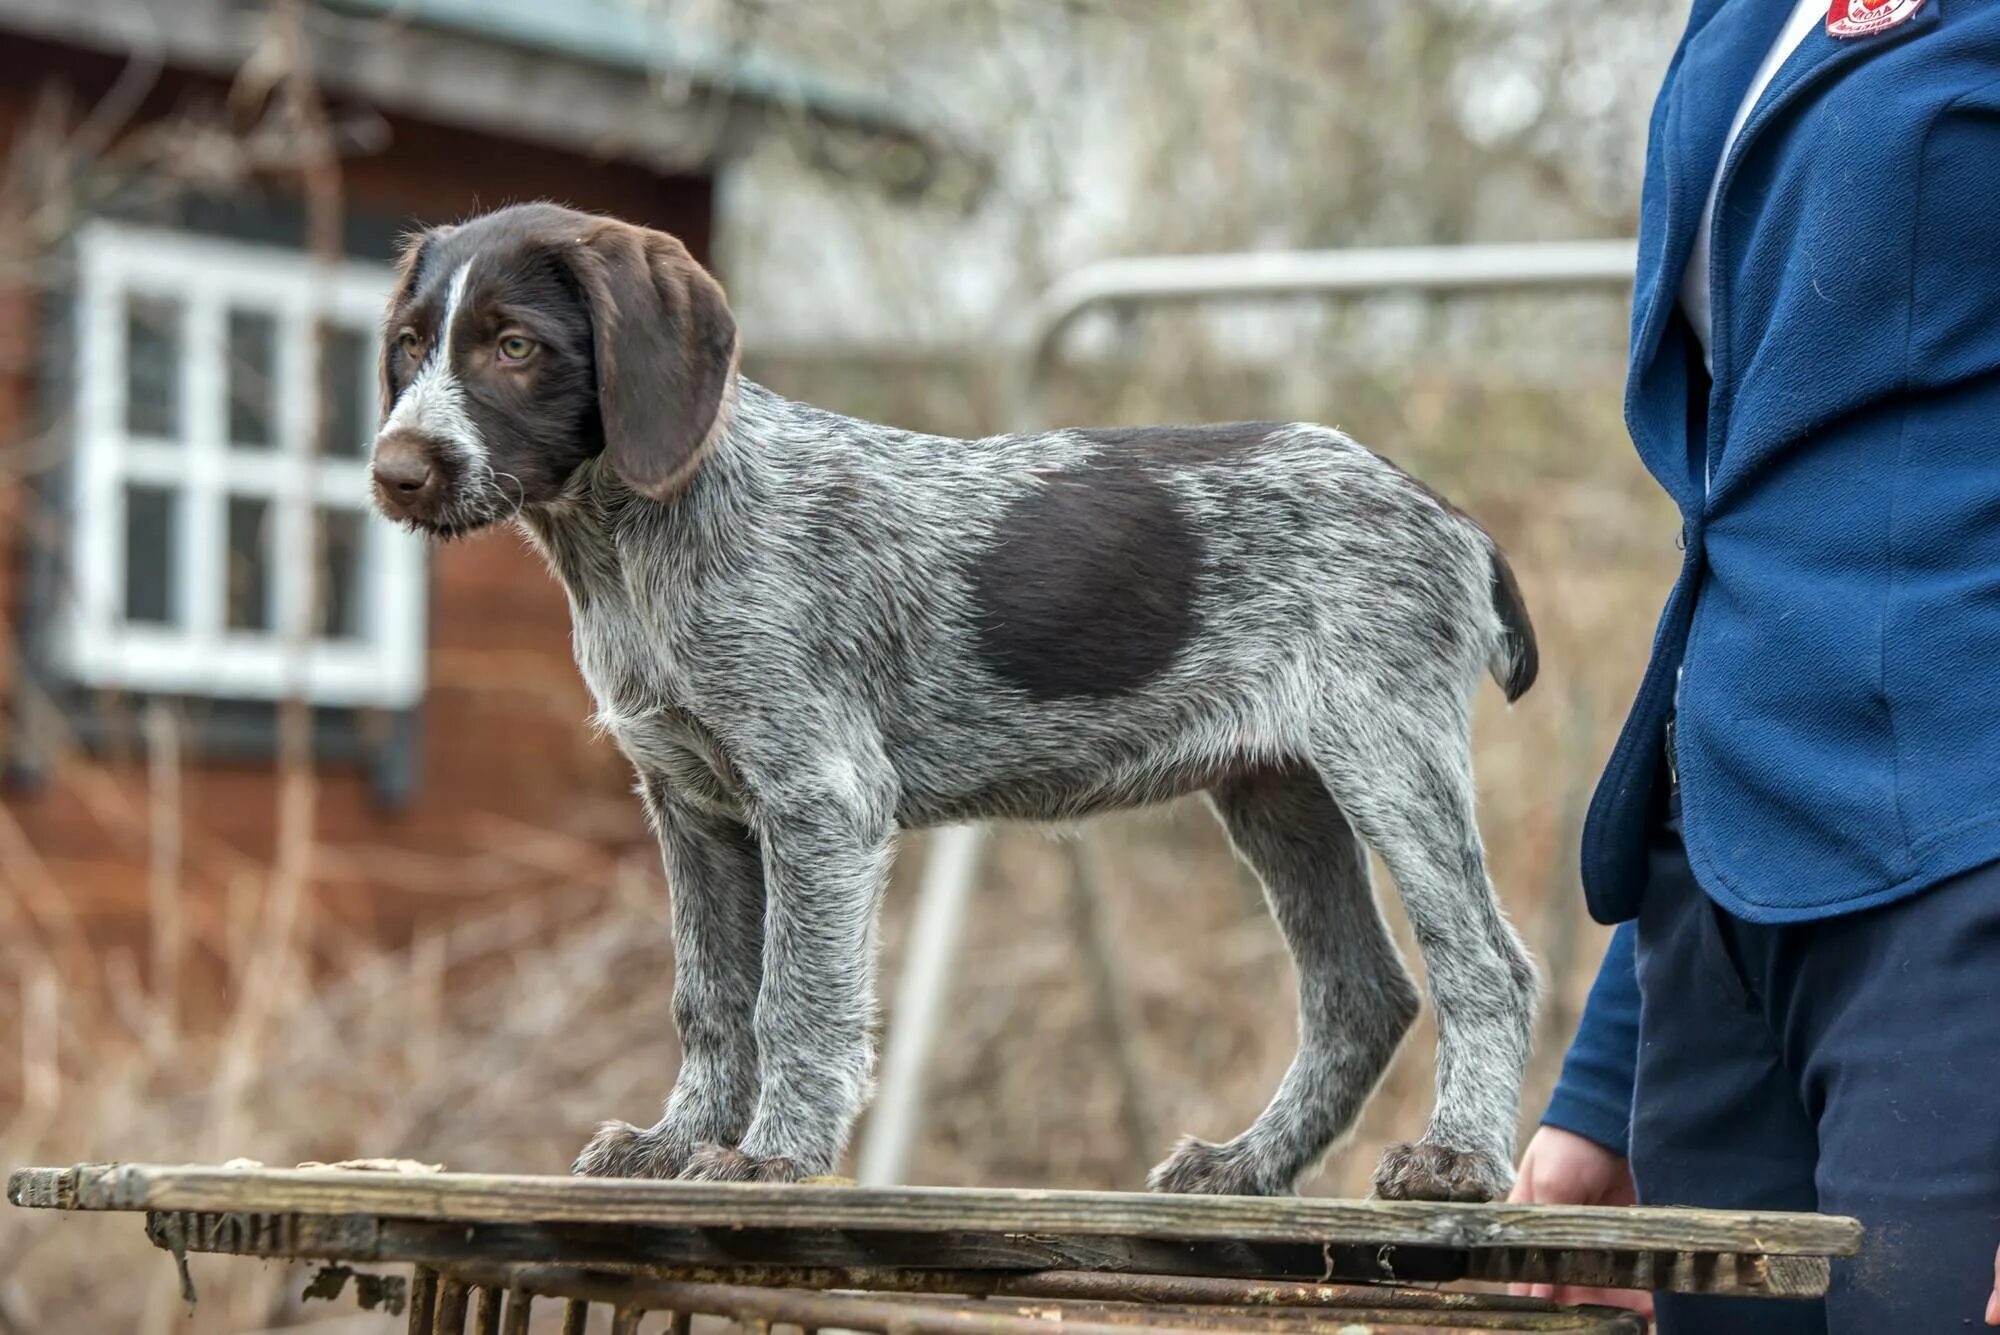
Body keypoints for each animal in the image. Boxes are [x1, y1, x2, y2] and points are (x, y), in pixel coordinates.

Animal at [372, 200, 1544, 1207]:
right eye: (409, 345)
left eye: (513, 346)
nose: (394, 471)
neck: (635, 544)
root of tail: (1447, 512)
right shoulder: (691, 803)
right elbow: (708, 997)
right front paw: (678, 1141)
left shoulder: (819, 799)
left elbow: (794, 997)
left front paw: (773, 1155)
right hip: (1281, 792)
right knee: (1360, 994)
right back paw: (1249, 1163)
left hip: (1387, 758)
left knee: (1486, 966)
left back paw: (1459, 1158)